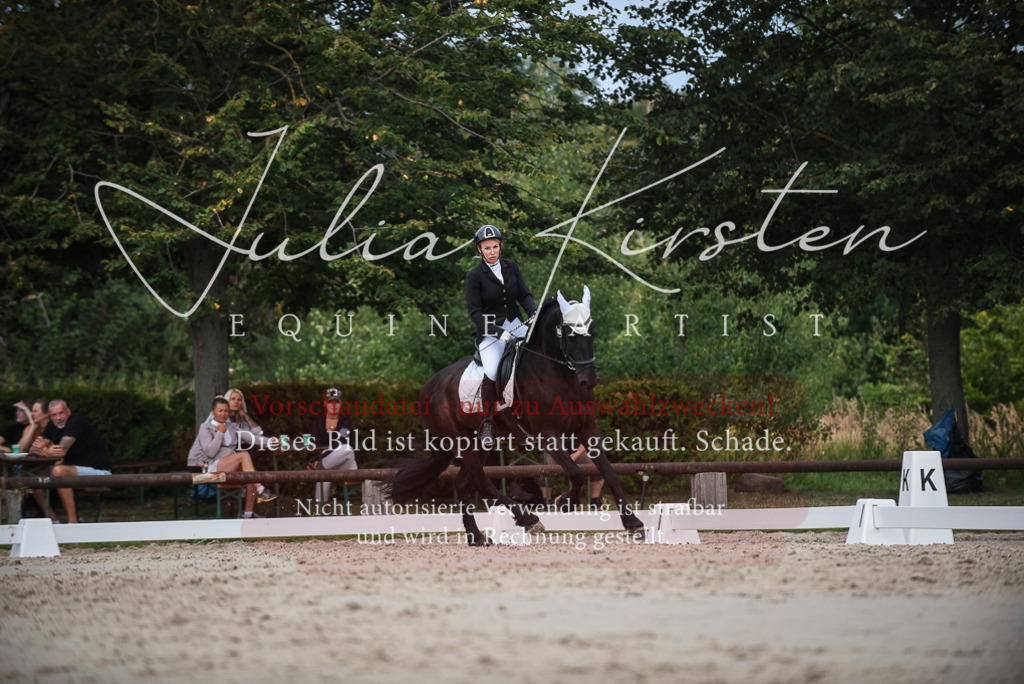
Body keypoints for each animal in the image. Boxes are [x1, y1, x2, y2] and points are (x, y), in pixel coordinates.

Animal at [384, 286, 646, 546]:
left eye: (593, 332)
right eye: (570, 335)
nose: (588, 381)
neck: (557, 374)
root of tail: (428, 387)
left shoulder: (588, 428)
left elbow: (609, 473)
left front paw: (634, 524)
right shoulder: (547, 434)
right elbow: (577, 472)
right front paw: (565, 502)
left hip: (480, 442)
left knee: (464, 484)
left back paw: (476, 537)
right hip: (461, 441)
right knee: (483, 482)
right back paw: (528, 519)